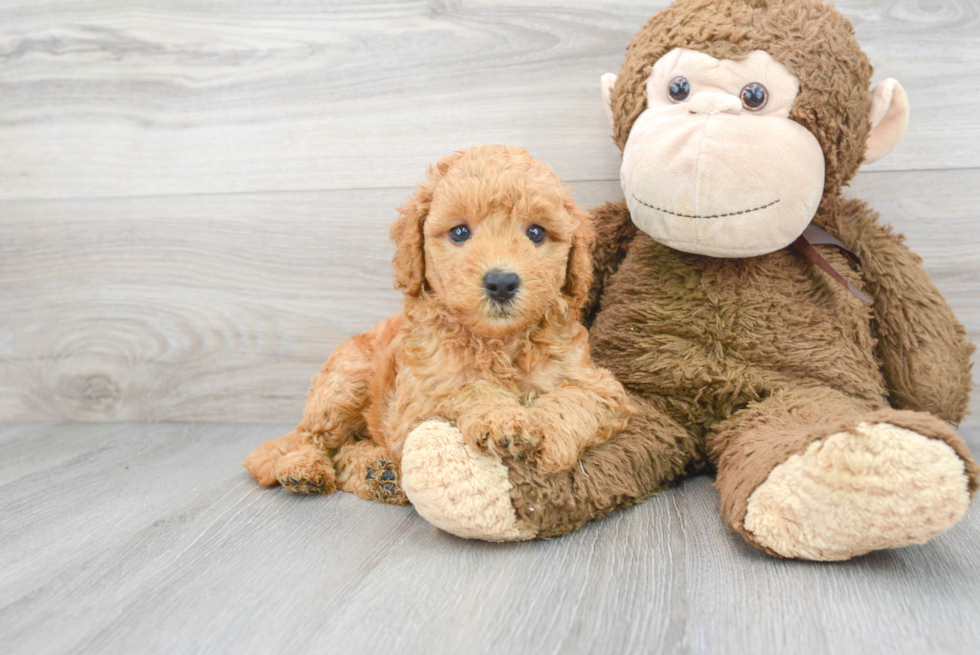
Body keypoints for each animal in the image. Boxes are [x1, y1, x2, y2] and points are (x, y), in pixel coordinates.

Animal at [241, 147, 632, 508]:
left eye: (536, 232)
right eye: (459, 232)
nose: (501, 282)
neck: (497, 343)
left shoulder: (600, 385)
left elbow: (574, 397)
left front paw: (547, 436)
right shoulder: (414, 408)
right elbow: (466, 388)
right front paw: (503, 418)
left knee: (348, 451)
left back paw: (377, 473)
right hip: (344, 383)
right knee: (314, 439)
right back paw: (304, 468)